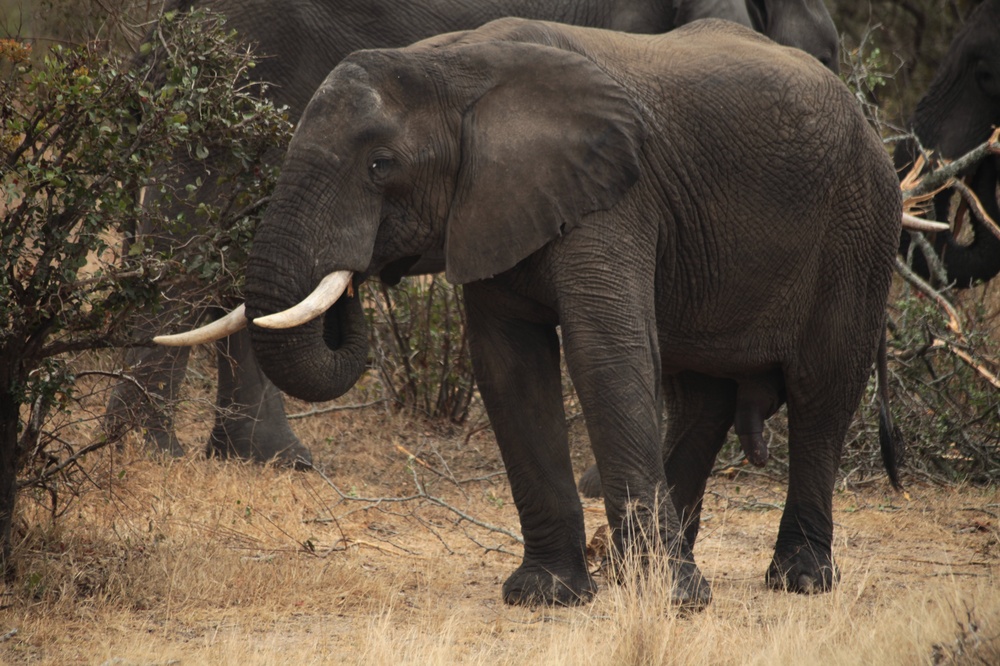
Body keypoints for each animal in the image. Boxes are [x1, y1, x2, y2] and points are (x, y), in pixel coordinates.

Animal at [160, 18, 904, 604]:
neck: (453, 67)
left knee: (821, 392)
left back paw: (795, 580)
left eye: (379, 166)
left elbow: (604, 354)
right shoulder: (495, 205)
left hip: (862, 224)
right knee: (700, 396)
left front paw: (671, 603)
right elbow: (510, 366)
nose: (356, 281)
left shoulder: (613, 196)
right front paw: (548, 595)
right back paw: (647, 567)